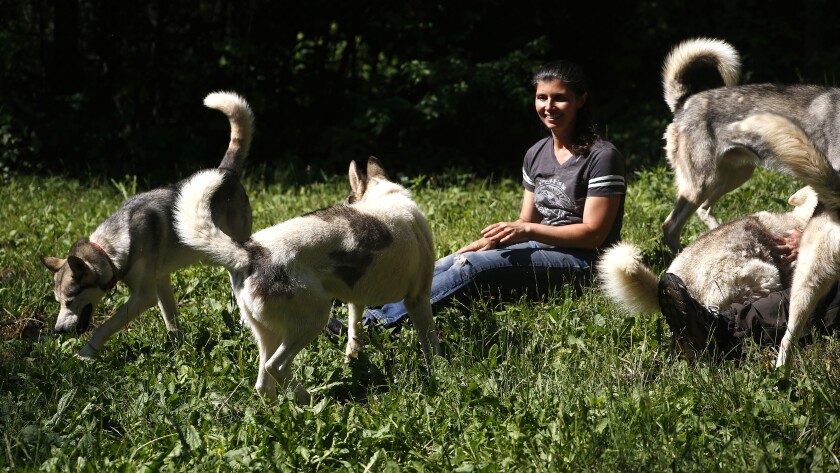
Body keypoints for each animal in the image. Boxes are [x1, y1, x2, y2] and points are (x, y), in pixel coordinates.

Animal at [41, 91, 253, 358]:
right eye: (57, 301)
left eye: (69, 301)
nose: (58, 330)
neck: (112, 248)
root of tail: (225, 172)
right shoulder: (160, 282)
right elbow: (171, 320)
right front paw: (178, 351)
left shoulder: (143, 296)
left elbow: (107, 325)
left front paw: (86, 353)